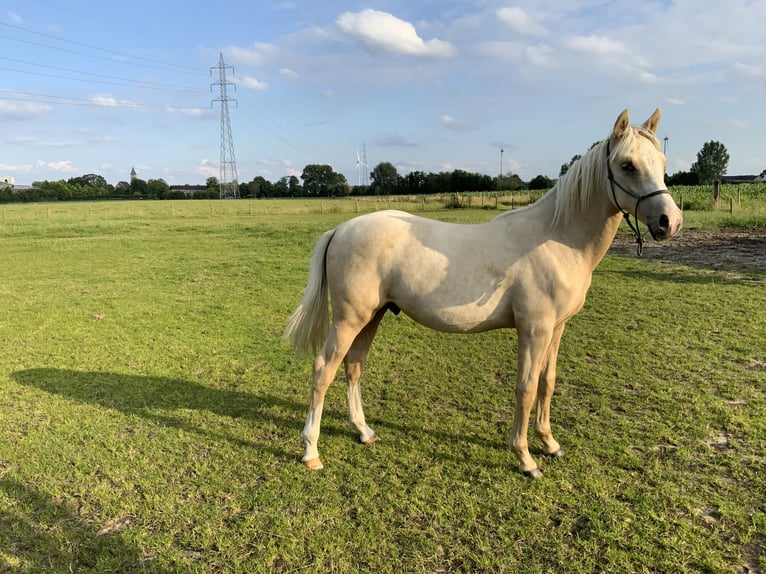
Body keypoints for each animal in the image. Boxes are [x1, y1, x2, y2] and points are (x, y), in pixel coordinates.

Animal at [284, 110, 684, 480]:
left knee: (353, 367)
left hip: (373, 316)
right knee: (323, 370)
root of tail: (340, 229)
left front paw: (550, 444)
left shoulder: (556, 329)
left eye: (663, 163)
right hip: (349, 319)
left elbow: (547, 383)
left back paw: (364, 431)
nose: (671, 222)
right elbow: (525, 388)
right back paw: (311, 452)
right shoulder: (534, 329)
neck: (556, 237)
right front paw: (526, 459)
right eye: (627, 165)